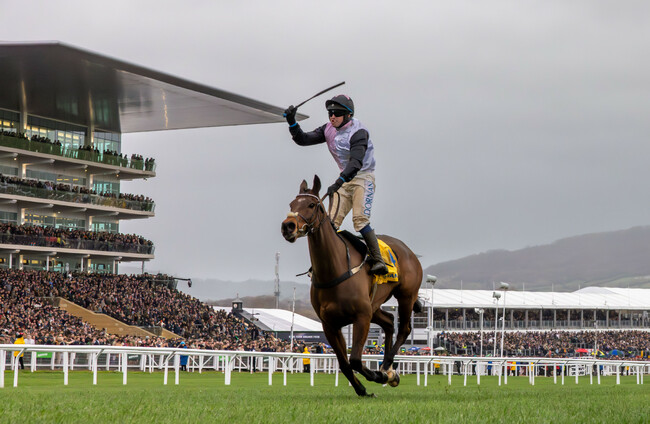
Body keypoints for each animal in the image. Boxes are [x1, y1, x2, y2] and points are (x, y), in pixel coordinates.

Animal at [281, 175, 423, 397]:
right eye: (291, 205)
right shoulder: (329, 324)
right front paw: (363, 389)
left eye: (311, 205)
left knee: (404, 328)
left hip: (406, 296)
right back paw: (387, 367)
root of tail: (408, 251)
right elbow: (344, 363)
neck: (335, 268)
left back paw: (388, 368)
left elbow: (355, 359)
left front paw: (378, 376)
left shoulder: (361, 317)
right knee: (390, 321)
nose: (288, 226)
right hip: (374, 305)